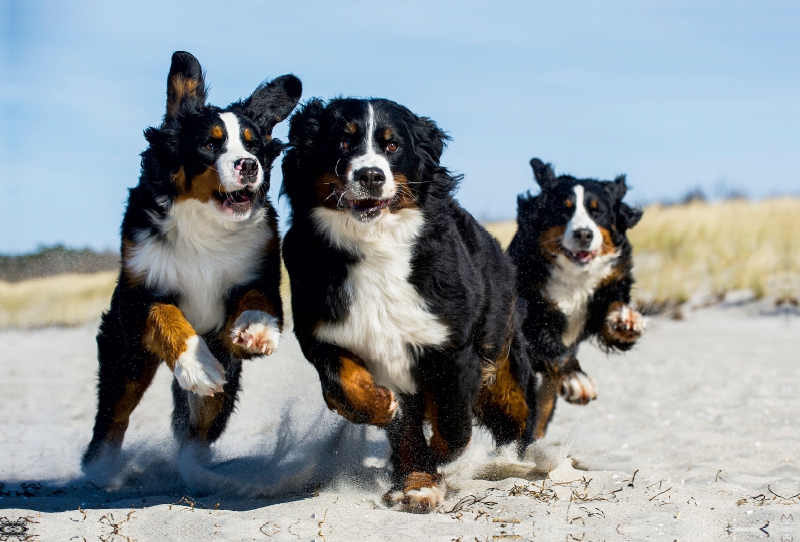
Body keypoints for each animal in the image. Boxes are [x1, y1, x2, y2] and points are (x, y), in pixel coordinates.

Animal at [82, 51, 300, 468]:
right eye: (210, 145)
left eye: (254, 146)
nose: (249, 165)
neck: (205, 228)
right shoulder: (139, 291)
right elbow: (165, 315)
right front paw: (196, 365)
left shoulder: (258, 274)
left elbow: (257, 301)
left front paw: (257, 330)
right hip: (126, 354)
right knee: (114, 412)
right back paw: (100, 468)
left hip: (224, 384)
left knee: (198, 429)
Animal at [282, 99, 532, 516]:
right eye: (343, 141)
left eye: (392, 145)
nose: (370, 175)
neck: (373, 246)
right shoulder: (322, 334)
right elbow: (347, 388)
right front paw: (383, 409)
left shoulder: (450, 347)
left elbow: (451, 423)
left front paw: (441, 460)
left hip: (498, 362)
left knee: (515, 415)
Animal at [510, 159, 648, 444]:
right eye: (564, 211)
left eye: (598, 212)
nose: (583, 234)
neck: (575, 278)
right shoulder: (532, 318)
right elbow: (555, 349)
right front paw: (577, 381)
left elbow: (613, 307)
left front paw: (625, 319)